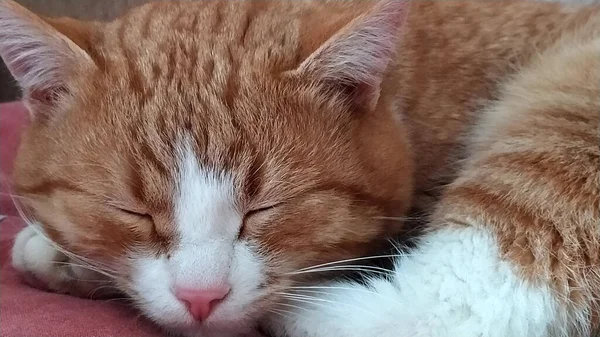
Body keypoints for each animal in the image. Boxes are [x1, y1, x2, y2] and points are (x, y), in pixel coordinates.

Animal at [0, 0, 596, 334]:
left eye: (266, 209)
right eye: (131, 211)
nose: (201, 299)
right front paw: (63, 254)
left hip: (559, 116)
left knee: (456, 310)